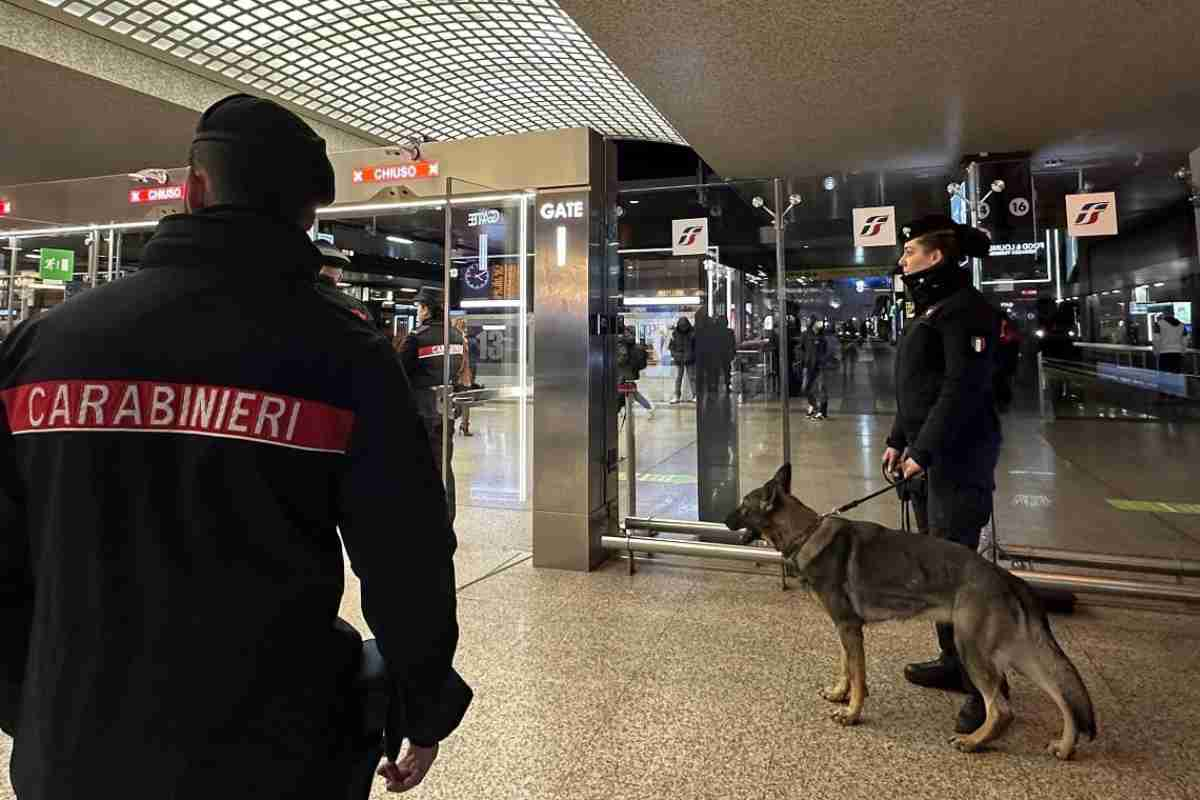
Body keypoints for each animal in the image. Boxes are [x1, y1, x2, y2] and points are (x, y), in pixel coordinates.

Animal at [720, 462, 1099, 758]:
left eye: (742, 505)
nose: (723, 520)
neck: (806, 533)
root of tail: (1005, 575)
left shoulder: (849, 628)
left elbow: (859, 675)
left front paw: (853, 713)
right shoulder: (844, 628)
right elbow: (846, 667)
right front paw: (840, 694)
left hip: (973, 649)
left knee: (1002, 708)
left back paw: (974, 741)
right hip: (1018, 653)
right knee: (1063, 697)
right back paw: (1065, 746)